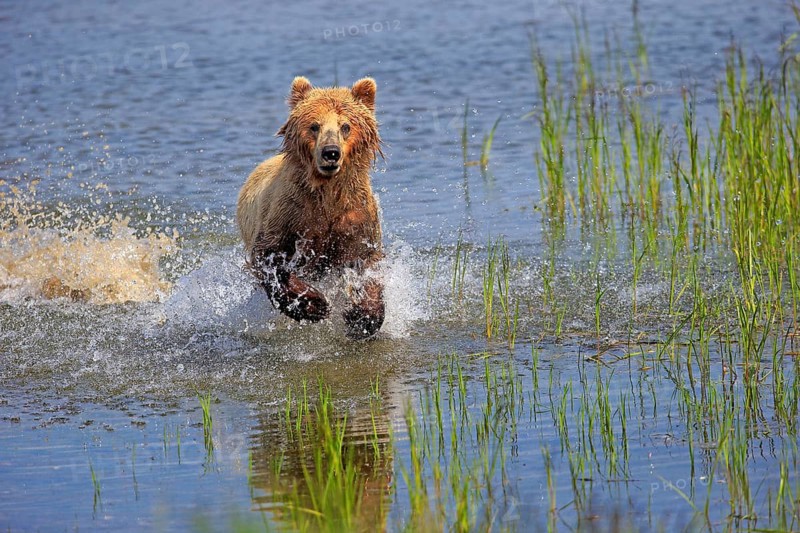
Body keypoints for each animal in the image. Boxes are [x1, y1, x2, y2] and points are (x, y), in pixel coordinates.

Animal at [237, 76, 385, 340]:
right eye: (315, 125)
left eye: (345, 126)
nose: (331, 153)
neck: (328, 191)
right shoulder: (289, 214)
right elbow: (269, 258)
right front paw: (314, 304)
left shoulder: (356, 218)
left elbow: (368, 262)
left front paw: (362, 317)